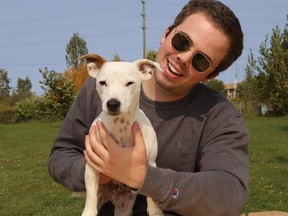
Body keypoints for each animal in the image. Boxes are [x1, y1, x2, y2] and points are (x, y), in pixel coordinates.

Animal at [79, 54, 164, 216]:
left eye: (130, 83)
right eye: (102, 82)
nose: (113, 103)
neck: (121, 126)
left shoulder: (151, 163)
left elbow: (152, 192)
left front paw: (155, 210)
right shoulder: (91, 166)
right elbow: (91, 195)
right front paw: (89, 211)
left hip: (124, 206)